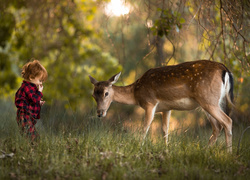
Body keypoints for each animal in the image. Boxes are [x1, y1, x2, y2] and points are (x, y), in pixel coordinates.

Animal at [89, 60, 233, 152]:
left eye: (106, 93)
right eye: (93, 95)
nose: (100, 113)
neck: (136, 92)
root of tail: (225, 69)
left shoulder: (150, 102)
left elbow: (145, 127)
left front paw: (139, 147)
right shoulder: (166, 108)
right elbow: (165, 130)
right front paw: (166, 149)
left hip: (208, 99)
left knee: (227, 121)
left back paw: (228, 154)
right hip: (209, 102)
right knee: (217, 126)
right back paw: (205, 151)